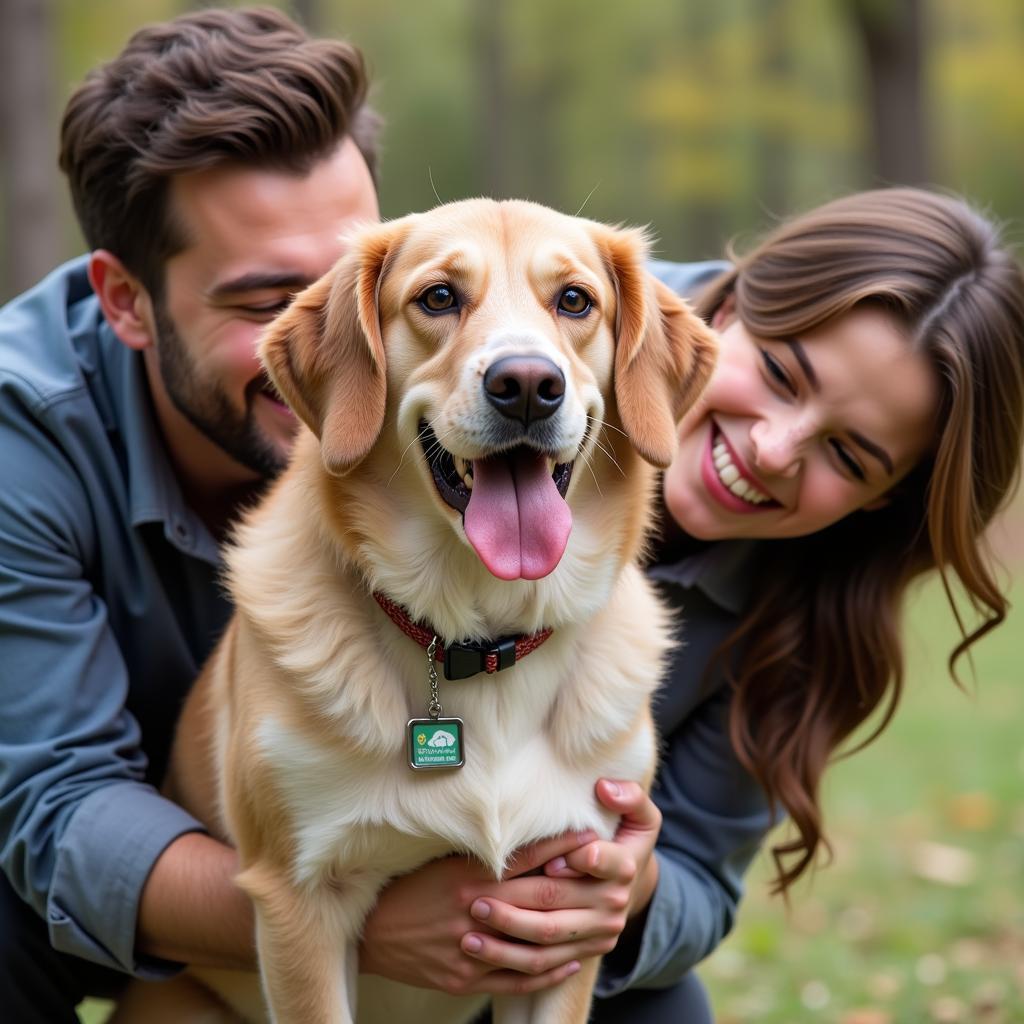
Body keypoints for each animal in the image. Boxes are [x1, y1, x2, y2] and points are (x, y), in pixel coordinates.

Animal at [165, 201, 712, 1024]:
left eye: (575, 301)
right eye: (439, 297)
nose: (528, 384)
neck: (480, 642)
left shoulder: (571, 900)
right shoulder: (299, 903)